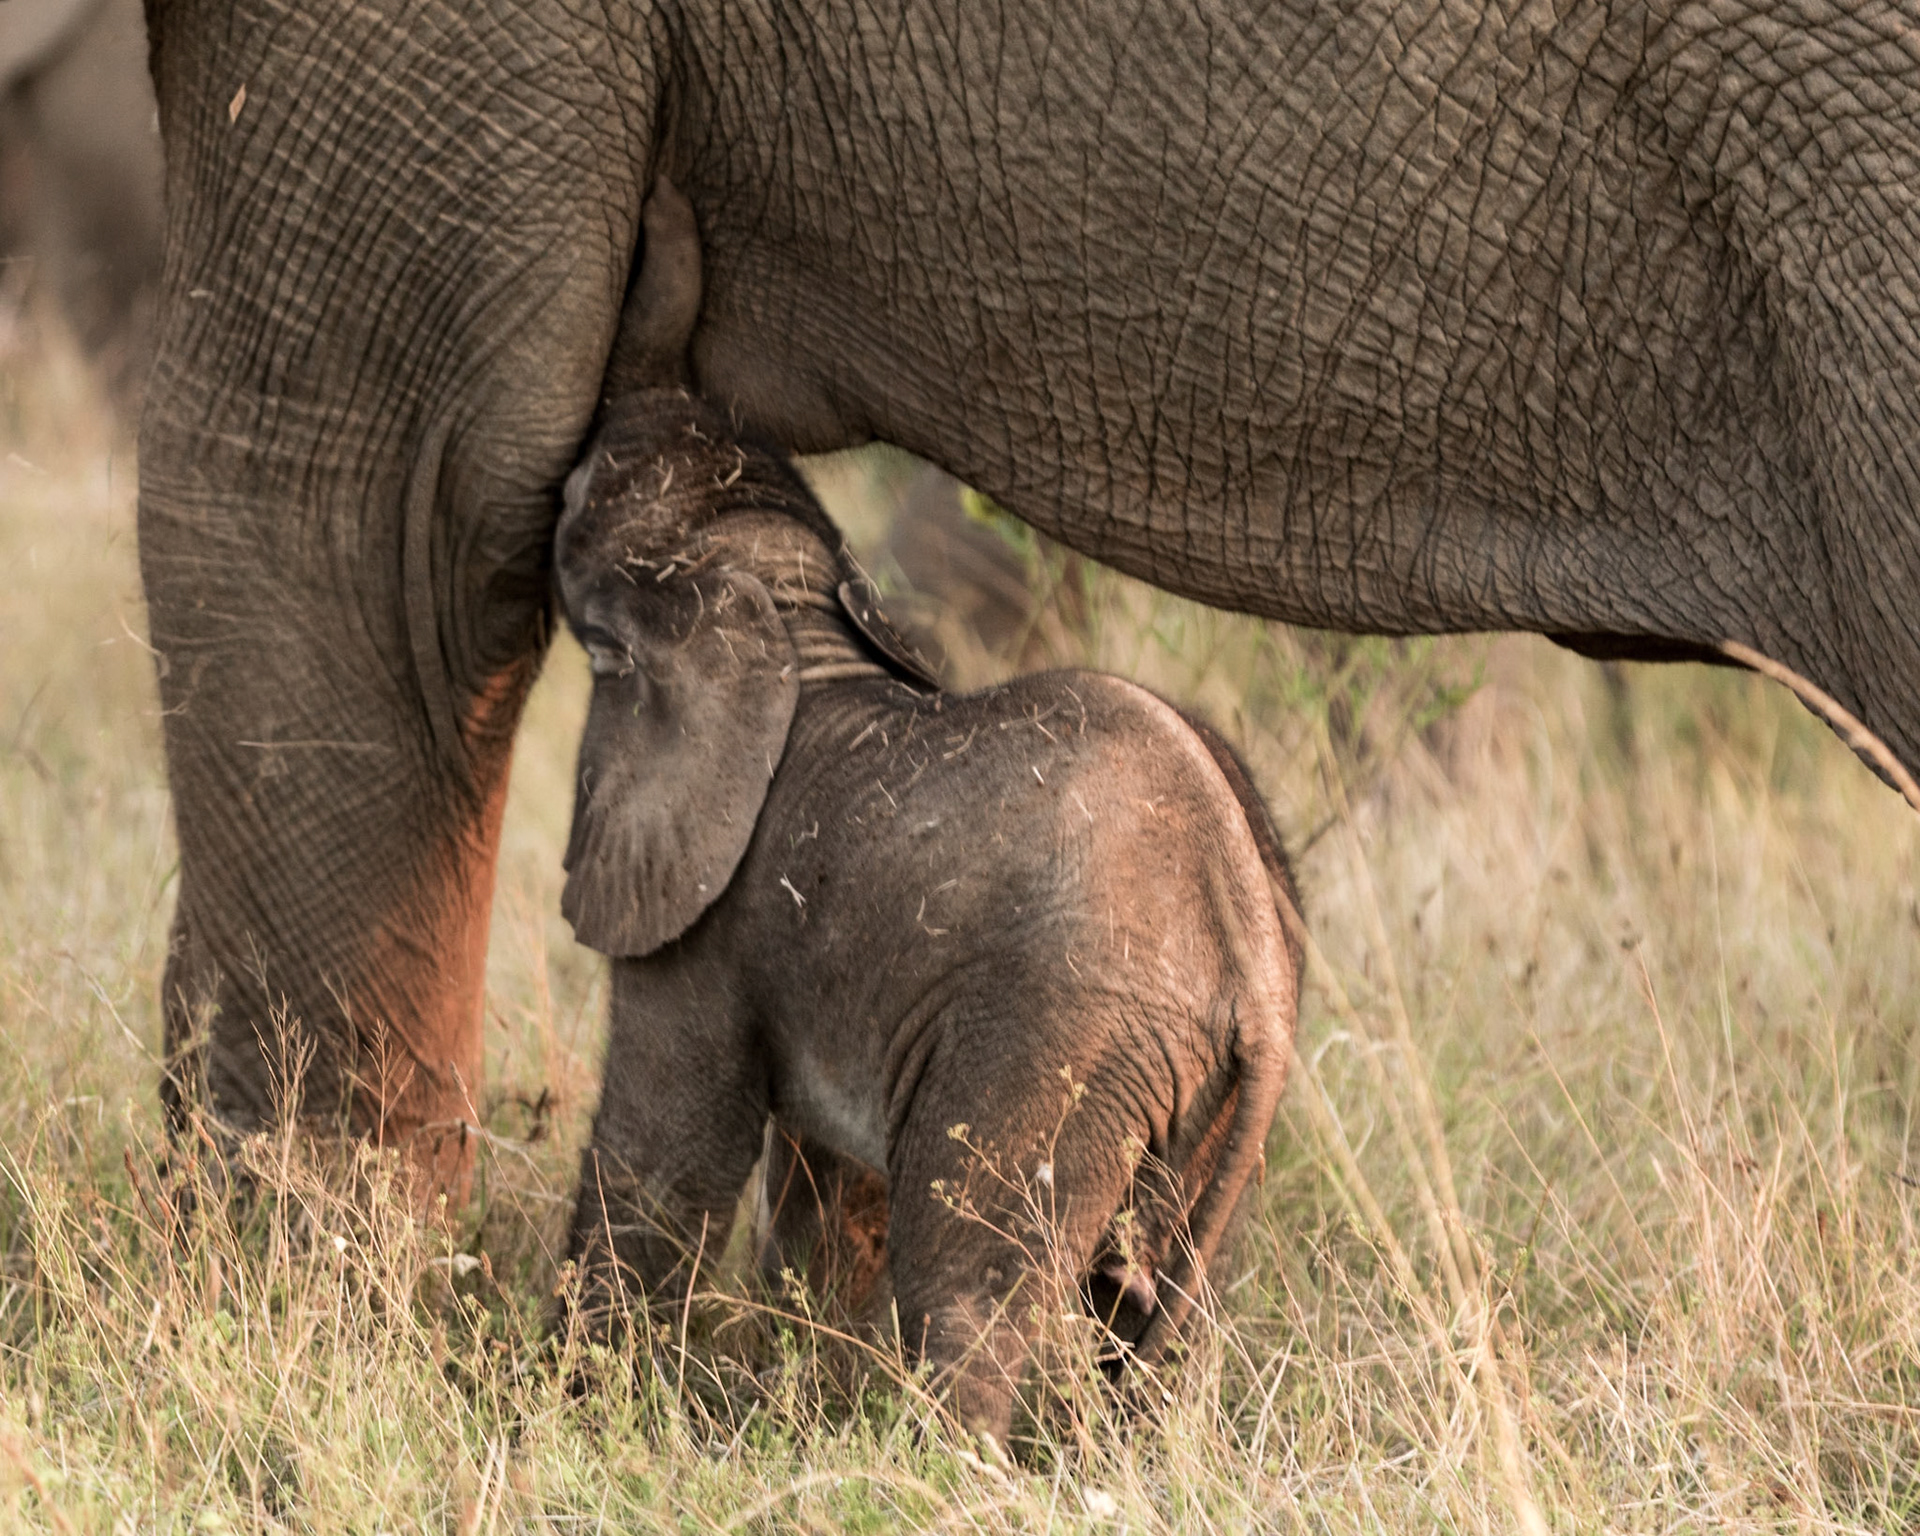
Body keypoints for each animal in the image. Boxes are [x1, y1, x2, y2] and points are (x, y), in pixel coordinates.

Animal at [555, 196, 1301, 1437]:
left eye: (580, 497)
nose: (664, 219)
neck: (785, 610)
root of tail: (1255, 981)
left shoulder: (711, 919)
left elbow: (669, 1156)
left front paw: (562, 1402)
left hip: (1056, 1048)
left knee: (966, 1281)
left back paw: (927, 1455)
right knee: (1146, 1309)